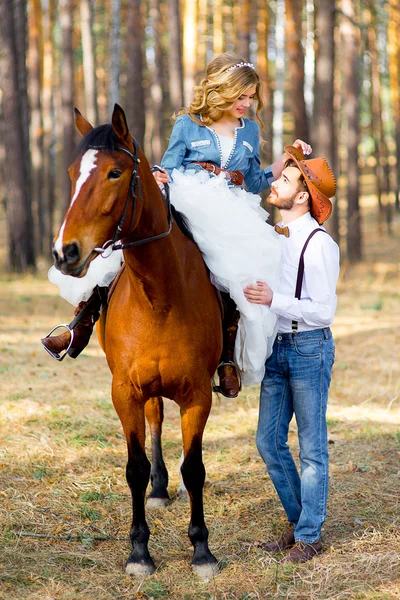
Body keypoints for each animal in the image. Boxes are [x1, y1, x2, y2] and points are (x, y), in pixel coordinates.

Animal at [51, 105, 223, 580]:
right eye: (71, 173)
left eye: (115, 172)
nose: (65, 253)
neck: (160, 296)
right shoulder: (124, 391)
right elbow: (135, 467)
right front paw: (139, 552)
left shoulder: (197, 394)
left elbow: (195, 468)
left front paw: (202, 550)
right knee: (155, 421)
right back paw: (159, 489)